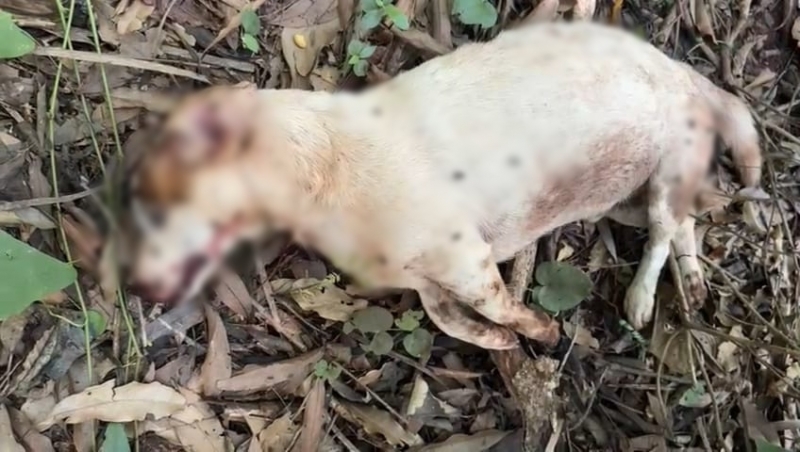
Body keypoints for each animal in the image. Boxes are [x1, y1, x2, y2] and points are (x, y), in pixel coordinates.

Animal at [128, 21, 762, 350]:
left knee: (664, 231)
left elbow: (497, 303)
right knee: (685, 225)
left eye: (162, 201)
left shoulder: (464, 253)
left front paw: (543, 333)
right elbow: (447, 318)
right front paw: (501, 343)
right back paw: (691, 287)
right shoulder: (422, 275)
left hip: (668, 166)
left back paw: (641, 301)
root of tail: (686, 73)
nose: (134, 285)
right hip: (629, 195)